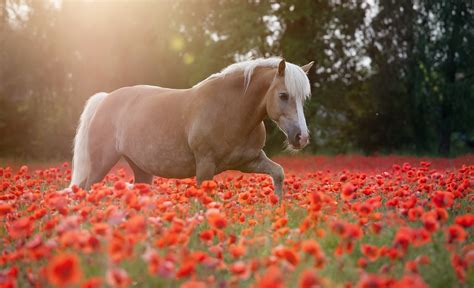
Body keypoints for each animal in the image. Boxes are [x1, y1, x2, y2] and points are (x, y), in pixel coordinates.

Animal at [70, 57, 312, 199]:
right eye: (283, 95)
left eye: (303, 98)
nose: (301, 137)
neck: (229, 110)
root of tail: (105, 99)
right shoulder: (205, 166)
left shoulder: (249, 161)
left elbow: (278, 173)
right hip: (101, 164)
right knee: (86, 189)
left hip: (141, 170)